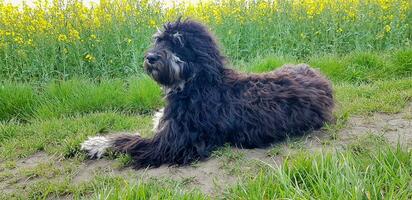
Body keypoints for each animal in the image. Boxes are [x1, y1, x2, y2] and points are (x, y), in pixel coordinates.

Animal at [81, 18, 334, 169]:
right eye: (159, 40)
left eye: (178, 42)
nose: (150, 57)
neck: (196, 83)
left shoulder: (173, 144)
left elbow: (129, 140)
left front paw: (97, 143)